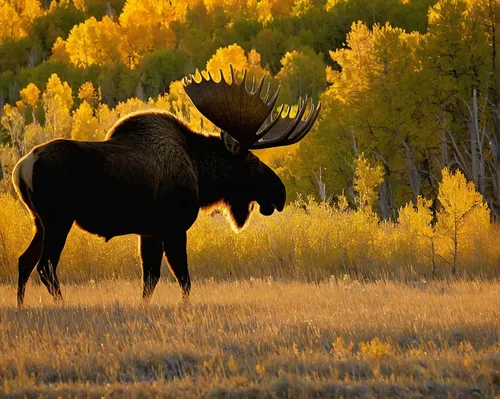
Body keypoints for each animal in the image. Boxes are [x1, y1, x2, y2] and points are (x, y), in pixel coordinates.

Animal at [13, 67, 322, 308]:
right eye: (253, 161)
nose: (280, 193)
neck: (201, 174)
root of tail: (22, 167)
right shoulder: (174, 227)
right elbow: (183, 279)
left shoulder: (149, 231)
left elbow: (150, 279)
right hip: (58, 220)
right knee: (45, 266)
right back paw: (60, 303)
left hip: (39, 222)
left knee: (24, 261)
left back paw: (21, 305)